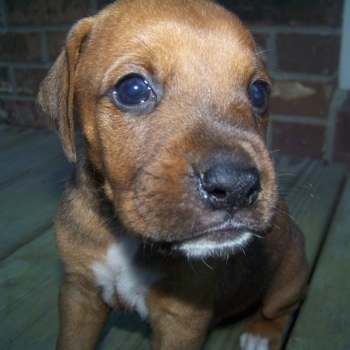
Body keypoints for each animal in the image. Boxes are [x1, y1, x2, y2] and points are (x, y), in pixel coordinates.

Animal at [37, 0, 308, 350]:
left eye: (259, 92)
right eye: (133, 89)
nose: (236, 186)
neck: (123, 235)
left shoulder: (182, 320)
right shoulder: (79, 293)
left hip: (288, 278)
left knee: (283, 307)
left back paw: (262, 333)